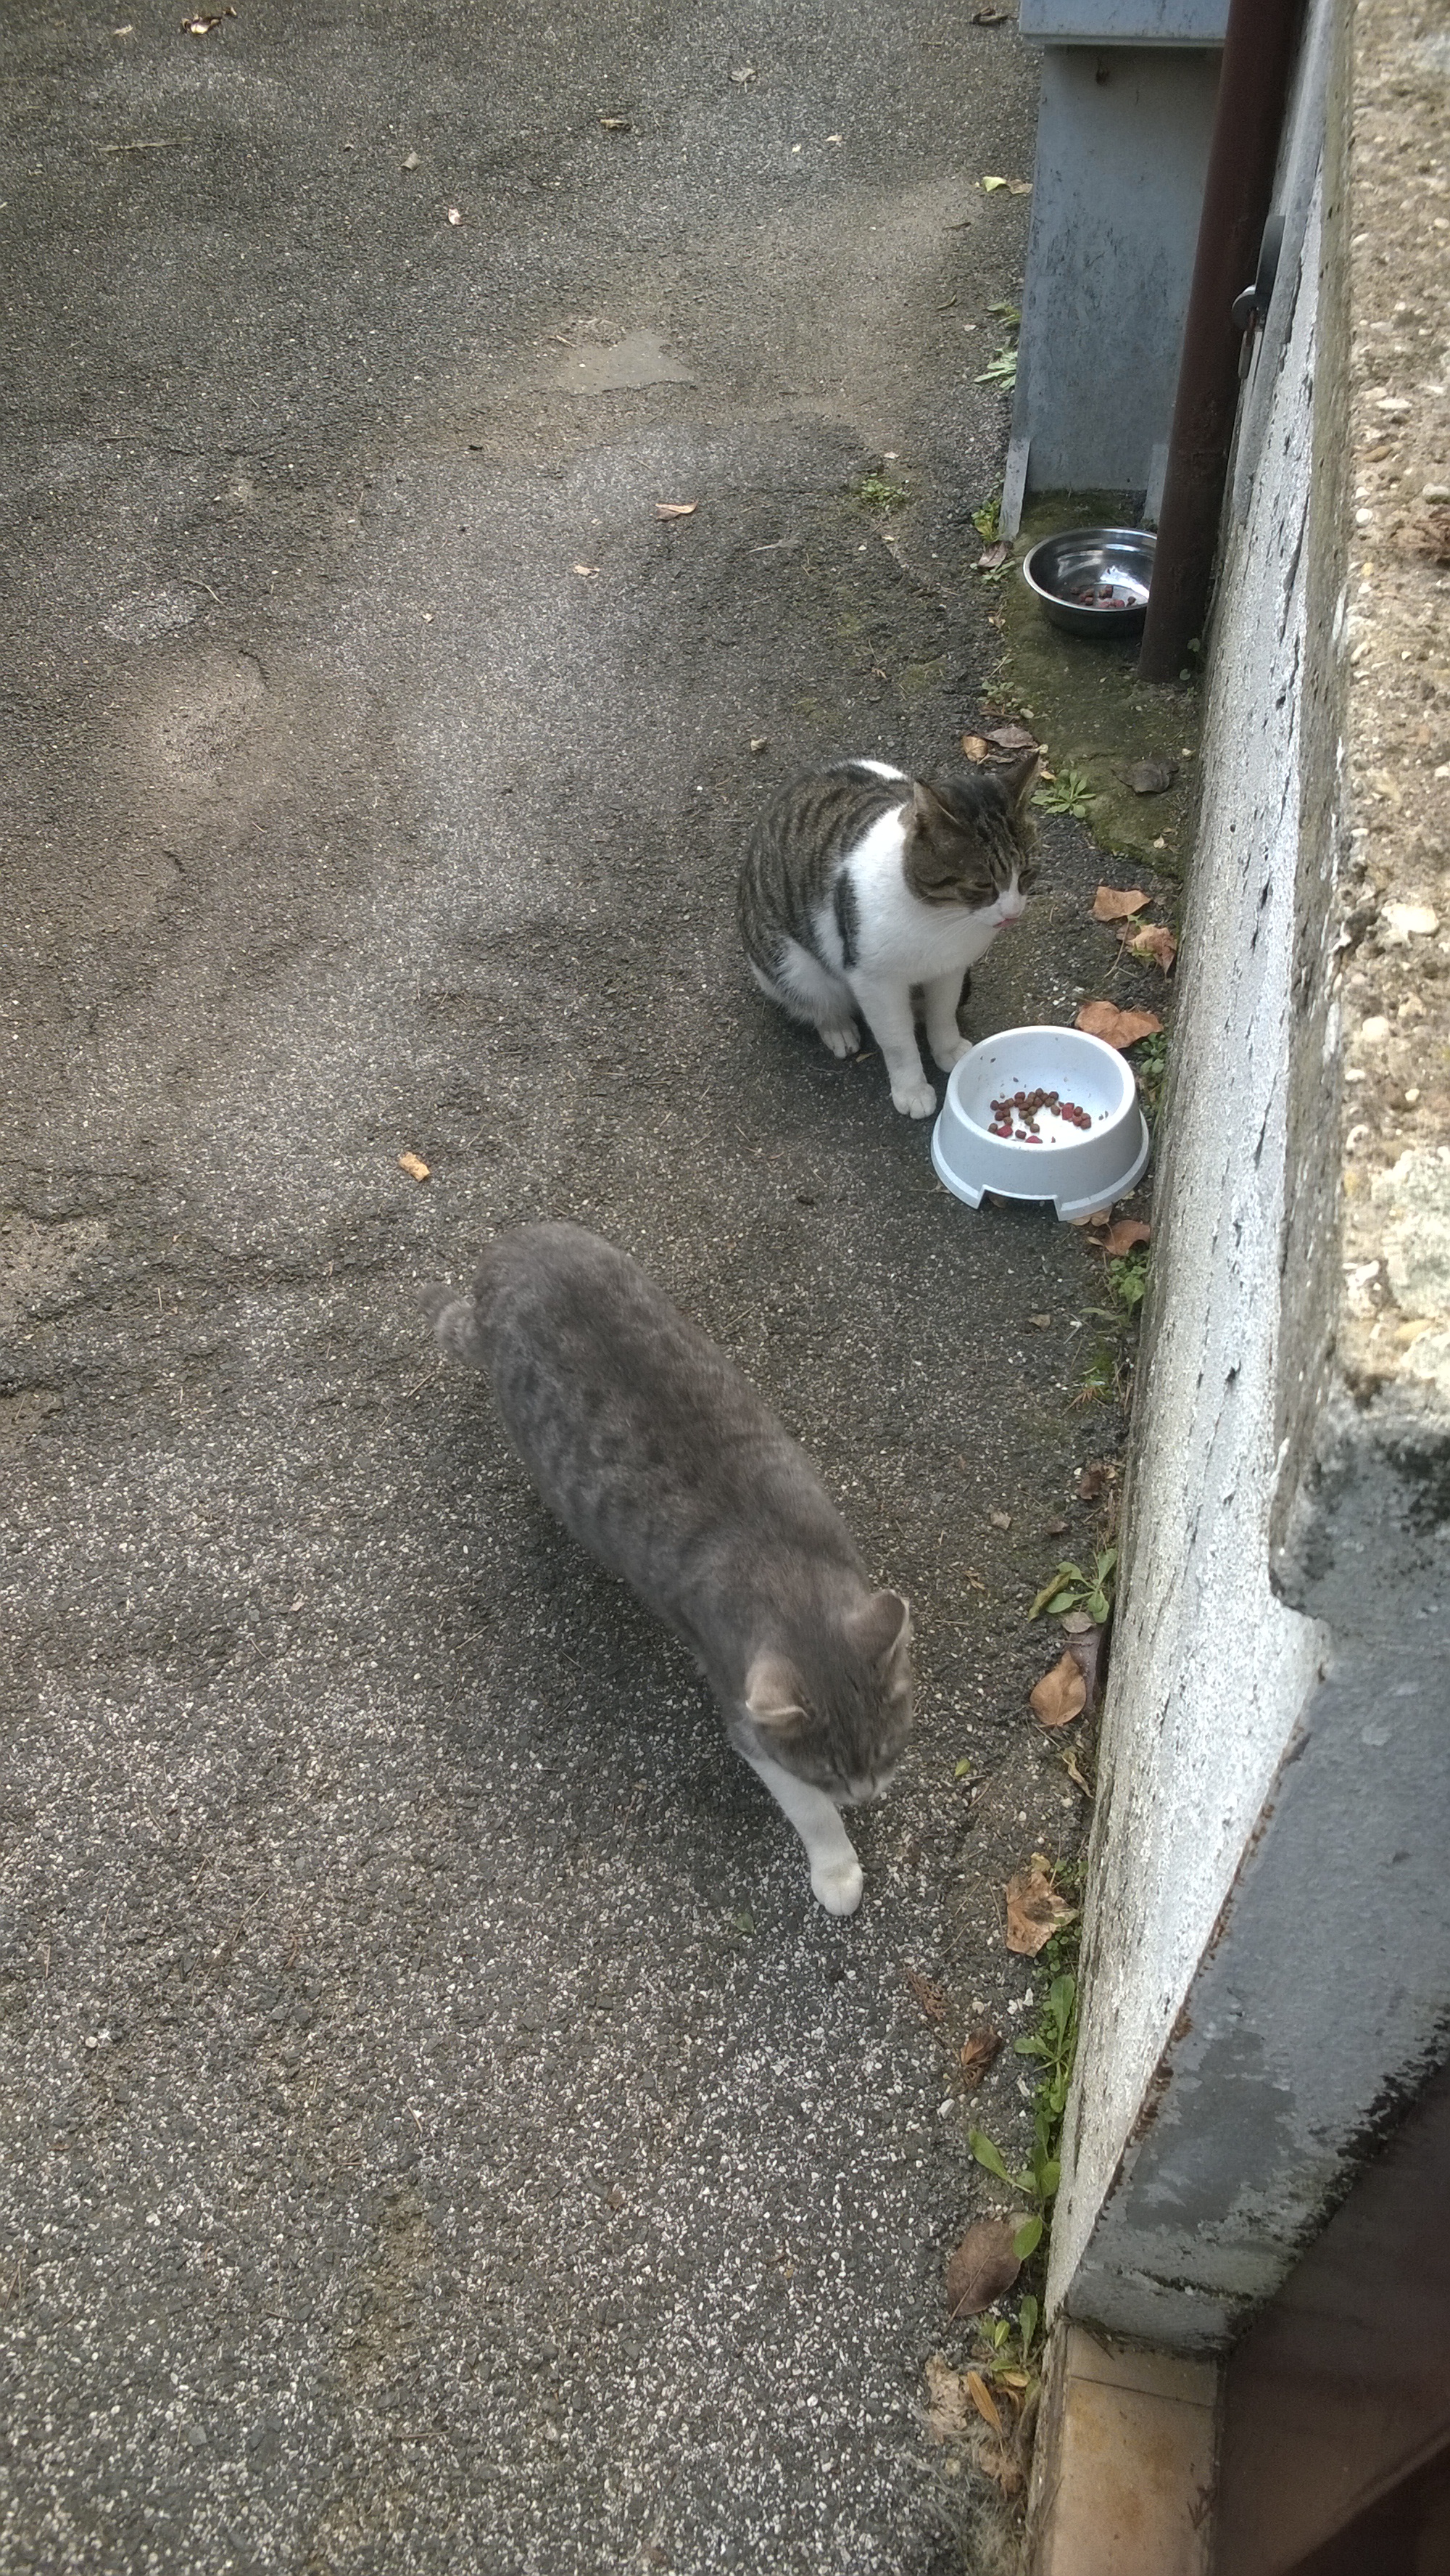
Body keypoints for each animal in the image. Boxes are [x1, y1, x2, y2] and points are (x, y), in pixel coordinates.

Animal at [422, 1223, 912, 1915]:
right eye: (828, 1773)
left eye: (889, 1748)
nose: (867, 1795)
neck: (788, 1577)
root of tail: (507, 1250)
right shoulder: (744, 1710)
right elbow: (805, 1807)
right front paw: (837, 1865)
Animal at [736, 753, 1039, 1117]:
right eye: (982, 884)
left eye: (1027, 872)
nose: (1012, 913)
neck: (942, 918)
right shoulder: (874, 981)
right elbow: (897, 1041)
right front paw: (911, 1090)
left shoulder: (950, 968)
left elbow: (944, 1011)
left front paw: (948, 1049)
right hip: (790, 964)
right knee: (813, 999)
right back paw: (837, 1026)